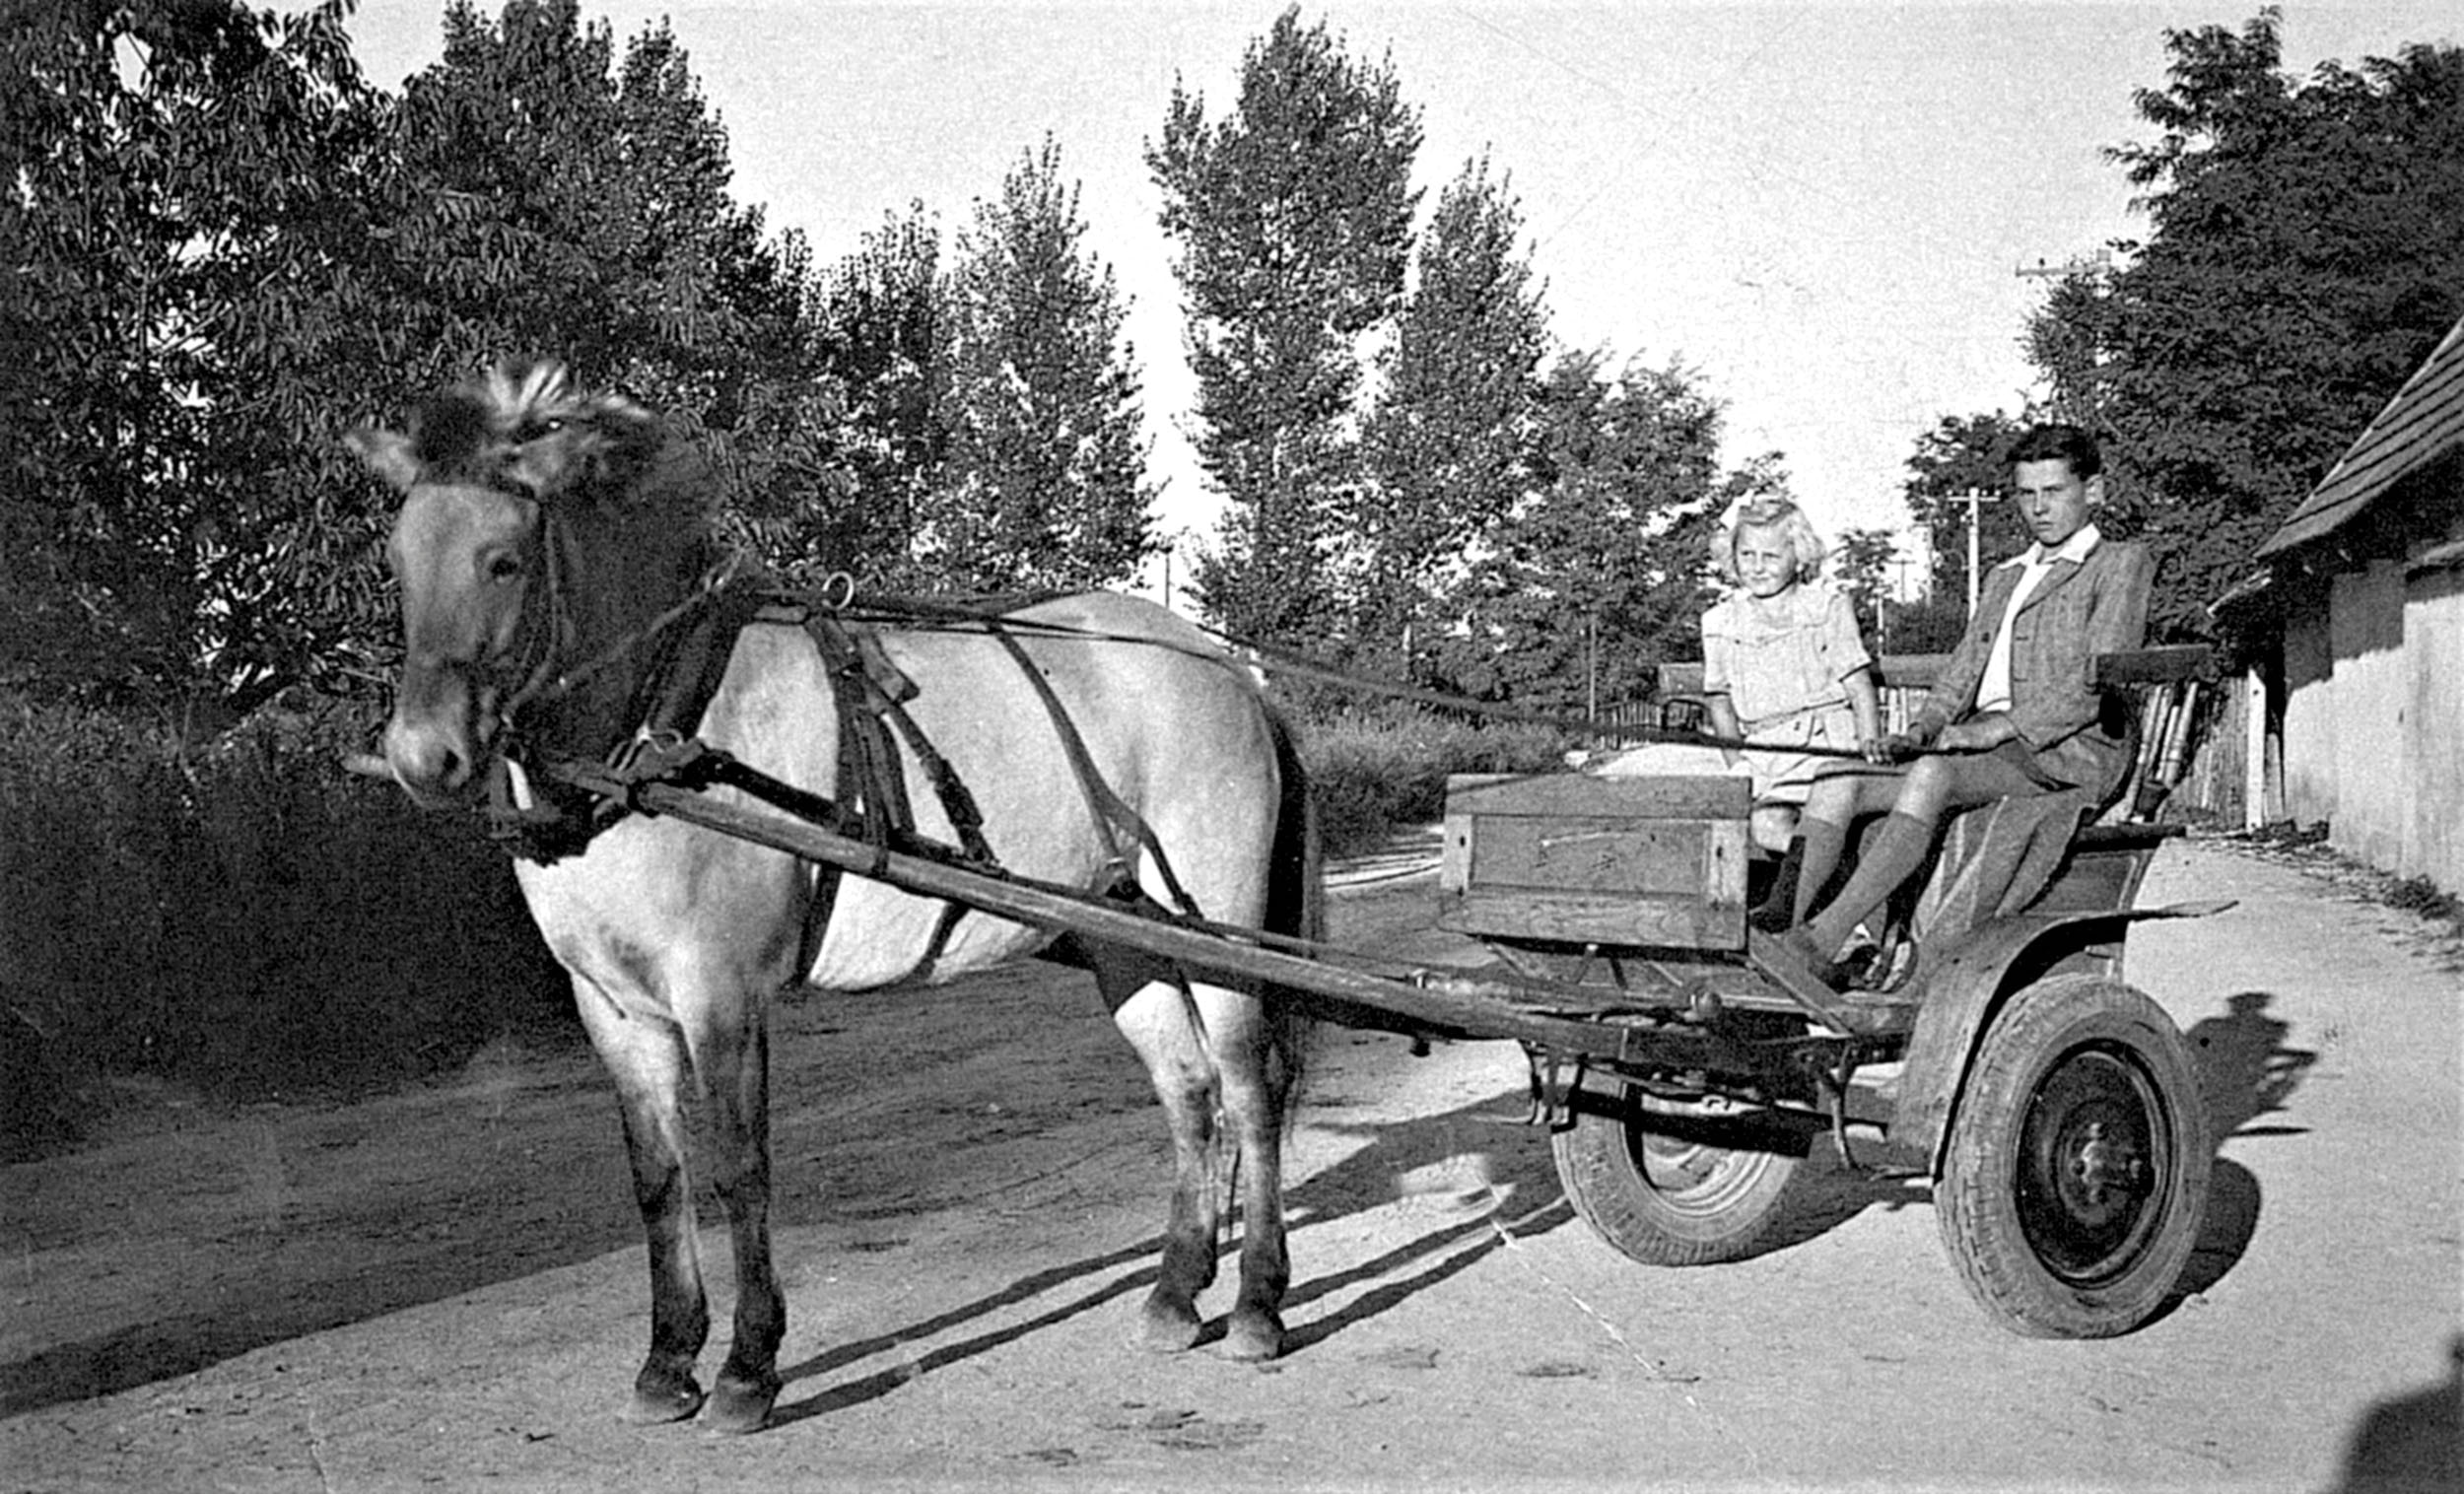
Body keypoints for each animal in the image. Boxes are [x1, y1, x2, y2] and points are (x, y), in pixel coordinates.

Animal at [347, 362, 1321, 1439]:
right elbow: (657, 1176)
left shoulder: (720, 992)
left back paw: (1258, 1304)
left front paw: (746, 1367)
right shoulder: (609, 1004)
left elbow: (738, 1166)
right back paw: (1175, 1294)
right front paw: (666, 1361)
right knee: (1188, 1091)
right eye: (398, 559)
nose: (421, 756)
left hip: (1216, 922)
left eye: (504, 560)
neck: (658, 727)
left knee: (1248, 1087)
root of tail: (1226, 665)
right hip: (1125, 935)